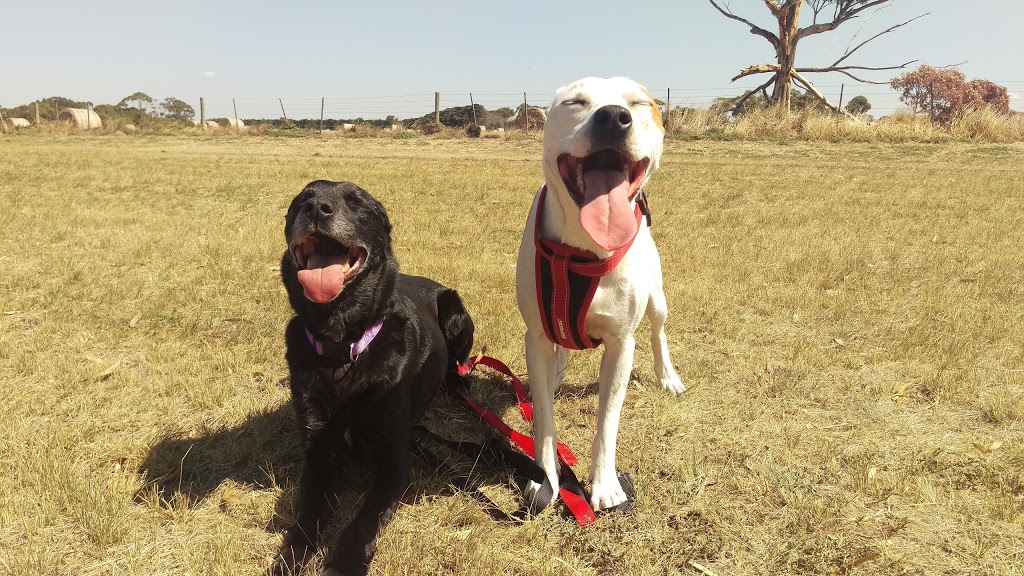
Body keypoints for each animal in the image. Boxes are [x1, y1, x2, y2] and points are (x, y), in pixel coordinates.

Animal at [276, 180, 475, 573]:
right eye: (300, 200)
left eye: (357, 202)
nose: (316, 208)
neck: (342, 348)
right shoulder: (318, 454)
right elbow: (307, 515)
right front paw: (291, 556)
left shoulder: (393, 463)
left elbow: (363, 519)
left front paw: (344, 562)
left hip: (457, 311)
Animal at [516, 77, 684, 510]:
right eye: (576, 102)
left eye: (639, 103)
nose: (613, 117)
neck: (583, 249)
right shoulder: (536, 335)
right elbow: (544, 419)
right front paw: (546, 480)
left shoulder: (621, 344)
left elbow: (608, 420)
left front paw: (606, 484)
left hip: (657, 299)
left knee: (658, 332)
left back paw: (668, 376)